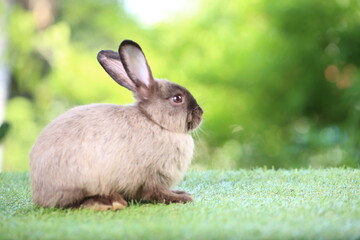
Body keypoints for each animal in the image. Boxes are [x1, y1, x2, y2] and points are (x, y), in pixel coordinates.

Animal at [28, 39, 202, 210]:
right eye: (177, 98)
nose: (201, 113)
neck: (154, 121)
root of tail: (39, 193)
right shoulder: (152, 178)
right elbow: (156, 193)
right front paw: (182, 198)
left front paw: (181, 193)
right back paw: (108, 202)